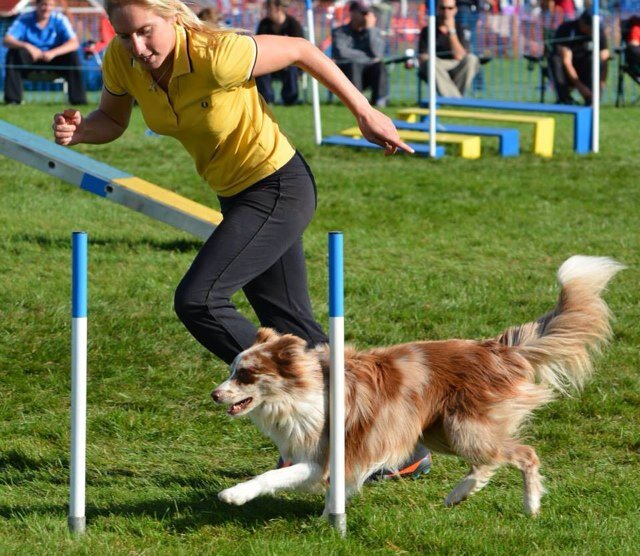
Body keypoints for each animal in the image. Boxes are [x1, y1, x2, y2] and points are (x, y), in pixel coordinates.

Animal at [212, 256, 624, 516]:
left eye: (245, 374)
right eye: (231, 369)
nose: (214, 394)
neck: (299, 395)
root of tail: (496, 348)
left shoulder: (327, 454)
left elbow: (275, 476)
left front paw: (234, 494)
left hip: (463, 426)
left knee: (522, 453)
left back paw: (530, 505)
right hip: (440, 428)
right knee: (488, 461)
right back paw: (459, 495)